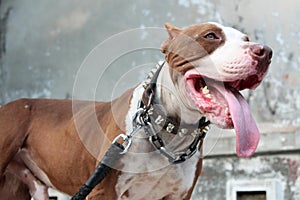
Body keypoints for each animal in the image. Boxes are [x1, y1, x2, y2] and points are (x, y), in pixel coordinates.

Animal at [0, 22, 272, 199]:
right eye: (211, 35)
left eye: (247, 39)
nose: (265, 51)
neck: (167, 131)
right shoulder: (102, 192)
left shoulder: (179, 195)